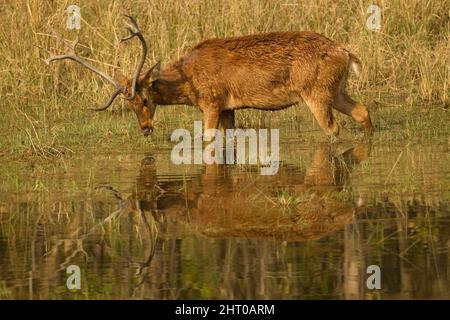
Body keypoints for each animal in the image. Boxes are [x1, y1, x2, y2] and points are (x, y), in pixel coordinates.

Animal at [41, 15, 372, 138]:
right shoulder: (228, 108)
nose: (145, 129)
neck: (189, 83)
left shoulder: (212, 102)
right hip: (336, 90)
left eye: (145, 98)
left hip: (315, 91)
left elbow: (207, 139)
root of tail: (346, 52)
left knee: (333, 128)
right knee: (362, 111)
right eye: (129, 105)